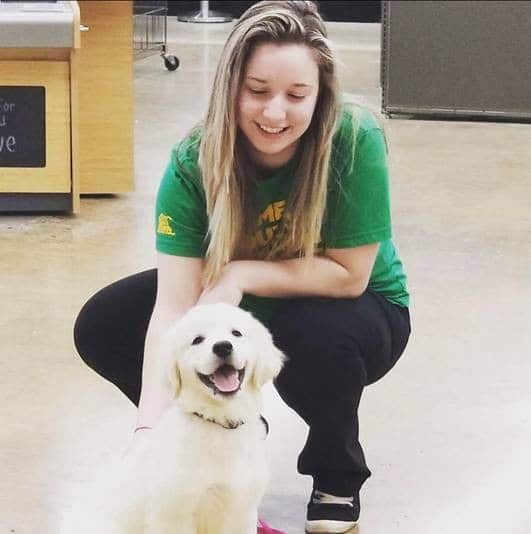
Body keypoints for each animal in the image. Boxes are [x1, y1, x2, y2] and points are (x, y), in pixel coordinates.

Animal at [61, 306, 286, 534]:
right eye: (197, 340)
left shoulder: (242, 512)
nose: (223, 347)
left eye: (236, 333)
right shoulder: (173, 514)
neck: (218, 422)